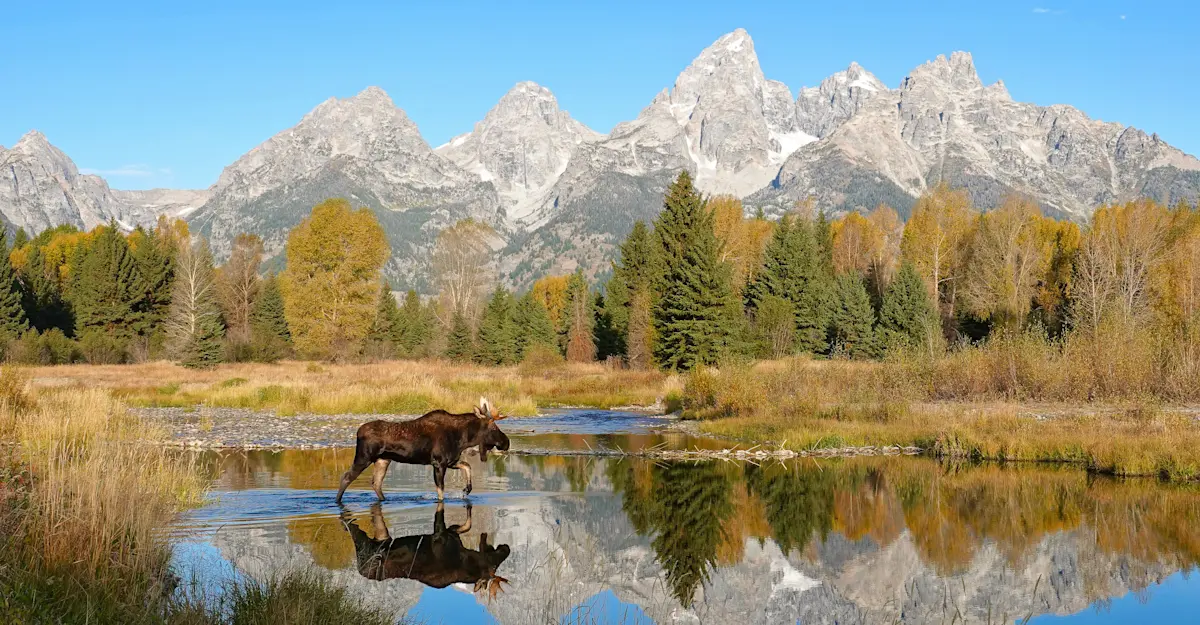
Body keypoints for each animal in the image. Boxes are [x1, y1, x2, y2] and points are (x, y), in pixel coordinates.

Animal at [335, 397, 511, 503]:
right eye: (494, 427)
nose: (506, 442)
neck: (463, 438)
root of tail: (358, 432)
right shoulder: (438, 462)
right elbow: (440, 492)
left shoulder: (450, 461)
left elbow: (467, 466)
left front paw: (466, 489)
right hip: (364, 457)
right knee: (346, 476)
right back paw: (337, 501)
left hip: (383, 460)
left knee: (376, 482)